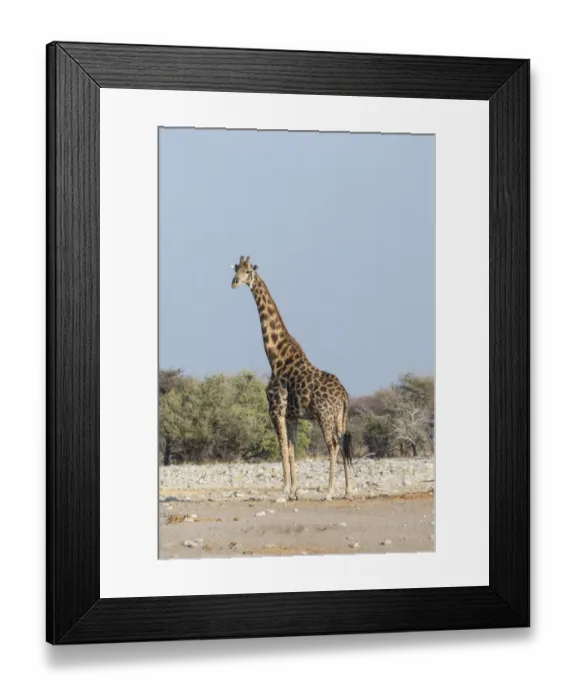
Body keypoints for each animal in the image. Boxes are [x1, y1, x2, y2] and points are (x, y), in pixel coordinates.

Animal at [231, 255, 354, 501]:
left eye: (248, 271)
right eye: (236, 269)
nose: (234, 282)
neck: (275, 356)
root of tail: (344, 394)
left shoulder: (276, 409)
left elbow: (281, 449)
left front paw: (284, 491)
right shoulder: (292, 415)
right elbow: (292, 448)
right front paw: (294, 491)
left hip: (324, 415)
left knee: (333, 445)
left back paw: (329, 491)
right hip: (340, 417)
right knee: (344, 442)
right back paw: (347, 490)